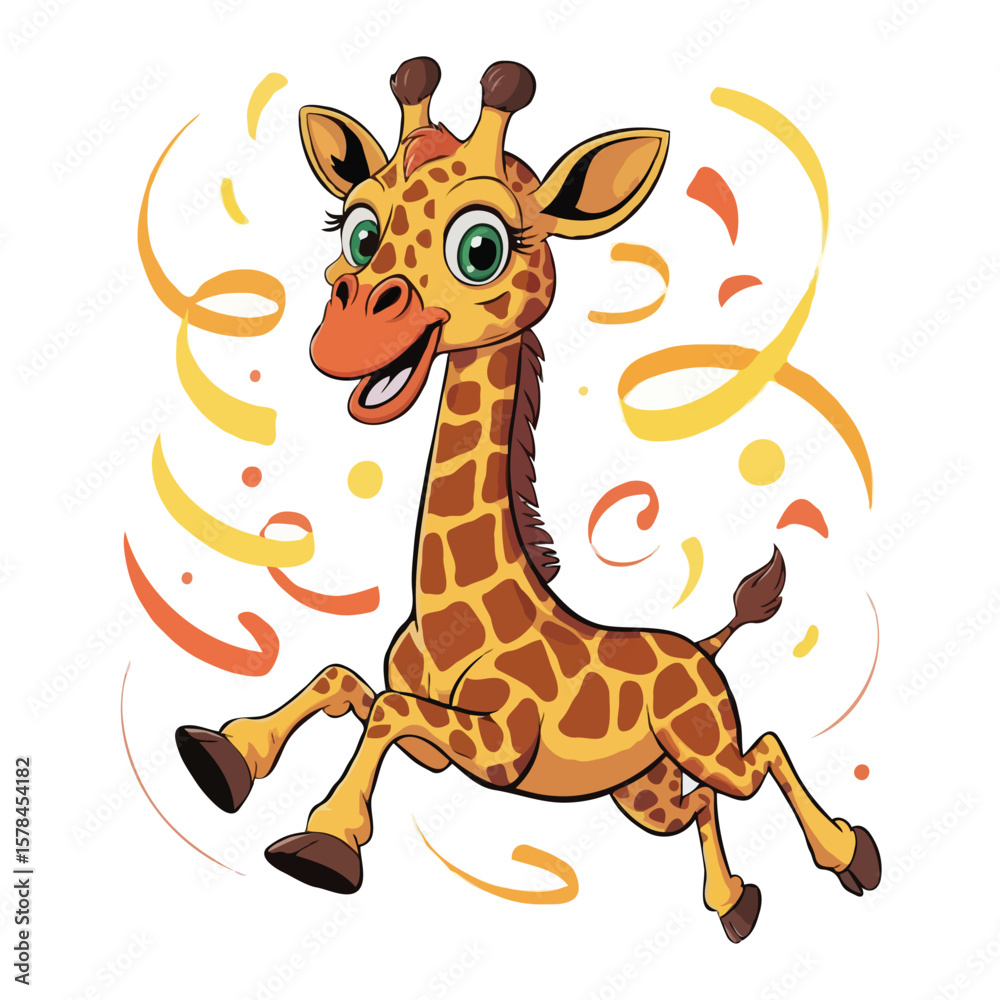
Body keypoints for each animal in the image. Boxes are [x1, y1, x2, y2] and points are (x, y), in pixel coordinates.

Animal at [175, 57, 880, 942]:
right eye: (356, 232)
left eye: (481, 248)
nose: (345, 337)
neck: (458, 617)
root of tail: (706, 647)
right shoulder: (440, 741)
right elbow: (347, 685)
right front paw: (224, 759)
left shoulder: (502, 747)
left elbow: (383, 711)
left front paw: (326, 845)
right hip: (640, 790)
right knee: (699, 805)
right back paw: (735, 903)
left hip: (705, 742)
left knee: (767, 755)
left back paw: (849, 854)